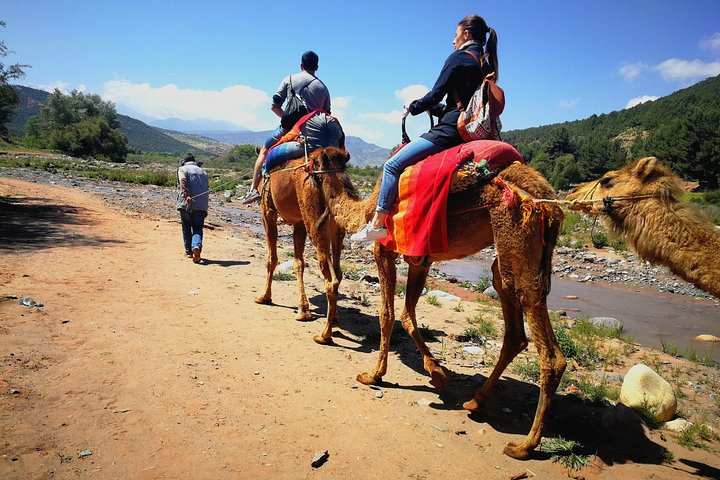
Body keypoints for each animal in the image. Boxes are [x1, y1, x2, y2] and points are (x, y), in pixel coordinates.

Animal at [254, 154, 345, 336]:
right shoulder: (299, 223)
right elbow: (298, 263)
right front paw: (303, 309)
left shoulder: (268, 212)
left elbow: (272, 258)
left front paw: (264, 297)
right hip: (335, 221)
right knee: (338, 272)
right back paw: (334, 320)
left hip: (314, 221)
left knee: (330, 277)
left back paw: (325, 335)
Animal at [309, 146, 566, 460]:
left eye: (312, 159)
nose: (304, 169)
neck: (365, 209)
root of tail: (549, 204)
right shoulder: (421, 258)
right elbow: (407, 314)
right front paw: (438, 373)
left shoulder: (384, 249)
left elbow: (387, 313)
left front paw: (373, 375)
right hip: (516, 258)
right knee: (513, 327)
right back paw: (475, 401)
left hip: (516, 237)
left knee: (549, 351)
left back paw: (525, 445)